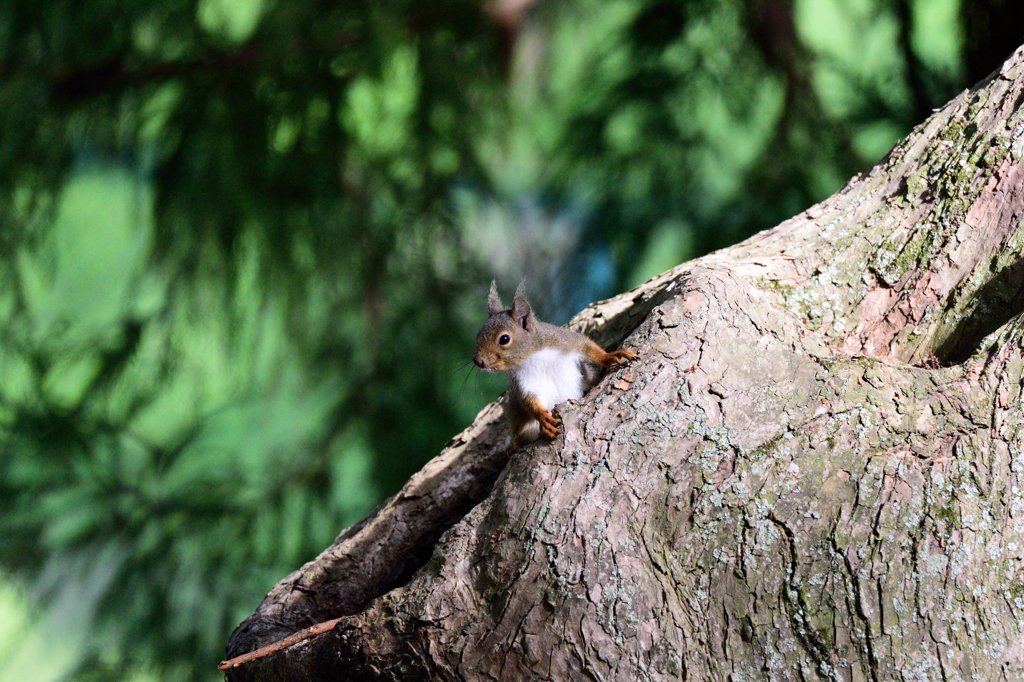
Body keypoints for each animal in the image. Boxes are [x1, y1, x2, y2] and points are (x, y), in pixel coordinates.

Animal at [473, 280, 634, 446]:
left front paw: (611, 355)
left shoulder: (566, 341)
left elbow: (589, 347)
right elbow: (529, 401)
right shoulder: (523, 382)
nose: (477, 360)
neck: (533, 357)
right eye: (478, 335)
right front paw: (544, 419)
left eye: (504, 339)